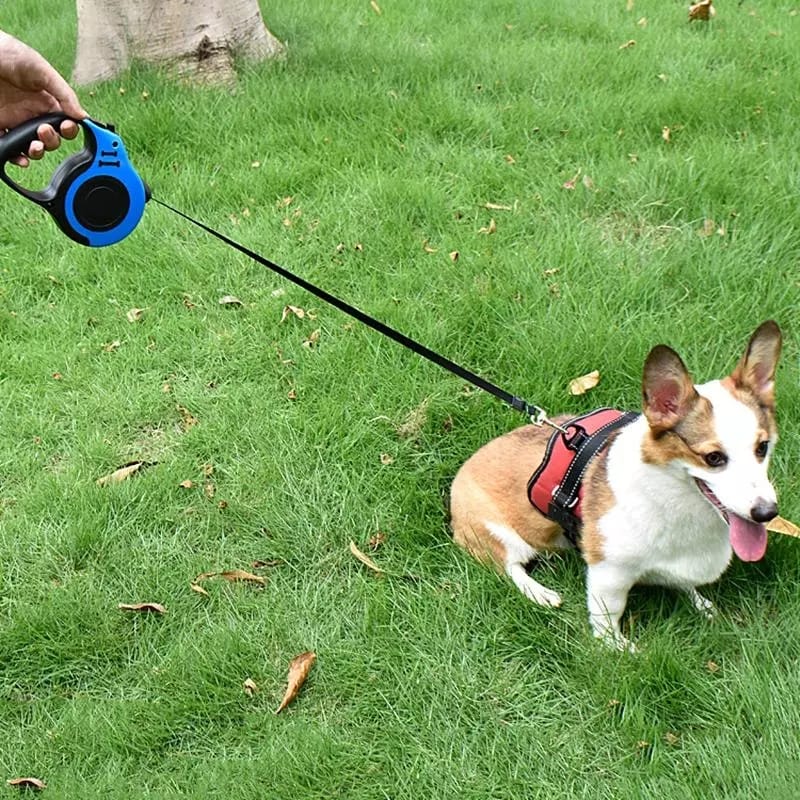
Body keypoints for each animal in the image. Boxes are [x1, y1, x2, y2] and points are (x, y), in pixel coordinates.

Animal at [450, 320, 780, 648]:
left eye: (763, 447)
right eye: (713, 458)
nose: (768, 513)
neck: (674, 499)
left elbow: (686, 586)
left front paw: (702, 605)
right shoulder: (609, 573)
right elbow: (609, 619)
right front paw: (621, 649)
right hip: (500, 535)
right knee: (511, 568)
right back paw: (540, 593)